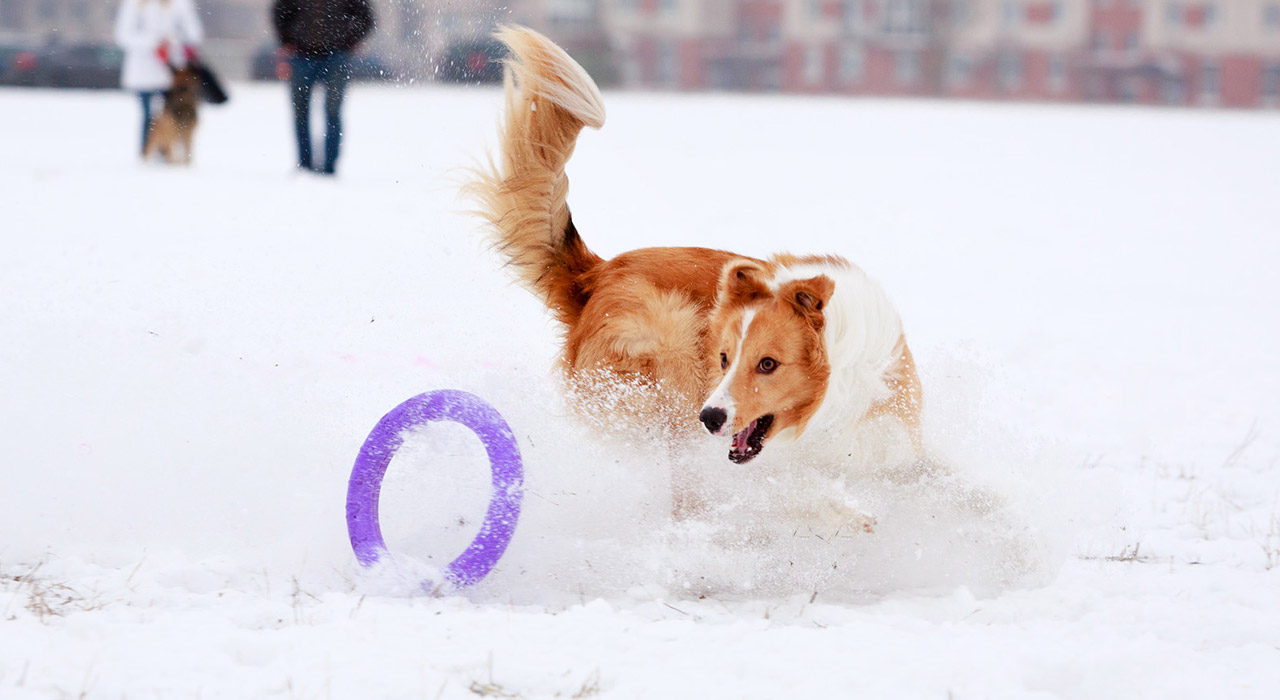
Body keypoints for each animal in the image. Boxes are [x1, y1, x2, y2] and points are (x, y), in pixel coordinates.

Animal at [468, 27, 921, 476]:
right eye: (722, 358)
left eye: (768, 364)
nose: (710, 418)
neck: (839, 378)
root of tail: (595, 274)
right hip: (673, 340)